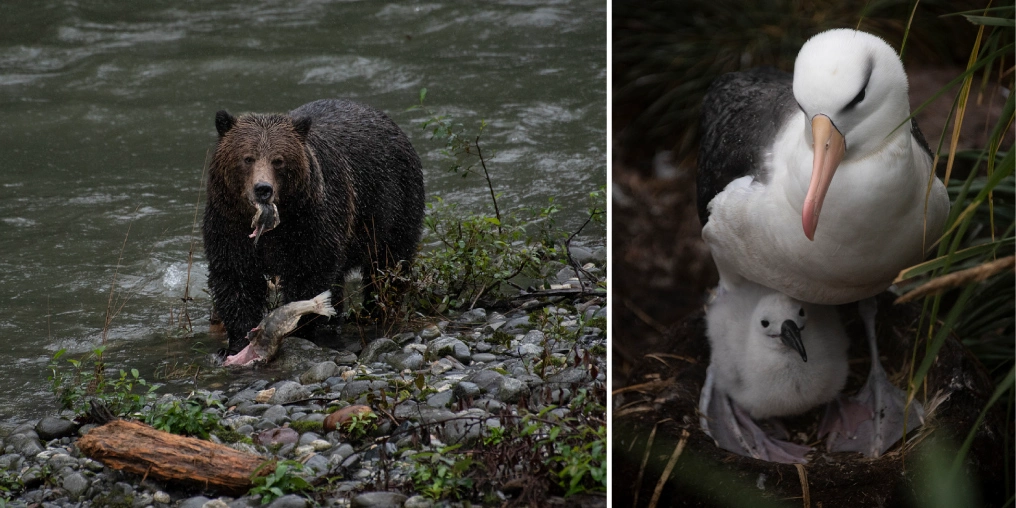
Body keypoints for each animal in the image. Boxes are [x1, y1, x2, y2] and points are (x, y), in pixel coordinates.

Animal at [203, 99, 425, 354]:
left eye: (278, 160)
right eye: (247, 158)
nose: (263, 189)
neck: (274, 225)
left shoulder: (311, 221)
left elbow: (309, 271)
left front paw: (298, 328)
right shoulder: (228, 224)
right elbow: (235, 276)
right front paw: (238, 341)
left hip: (394, 204)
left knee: (387, 265)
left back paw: (376, 311)